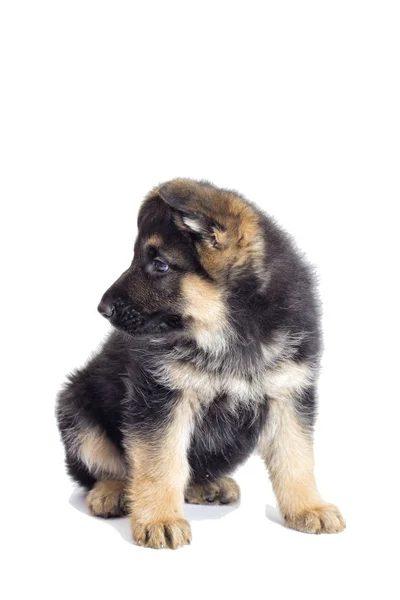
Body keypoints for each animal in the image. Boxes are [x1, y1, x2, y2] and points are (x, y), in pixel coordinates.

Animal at [55, 178, 344, 548]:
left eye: (161, 265)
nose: (102, 309)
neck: (231, 329)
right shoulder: (161, 399)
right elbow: (159, 464)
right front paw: (160, 519)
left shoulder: (288, 393)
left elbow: (296, 458)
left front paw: (309, 507)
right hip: (76, 408)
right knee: (105, 467)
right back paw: (113, 492)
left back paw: (207, 485)